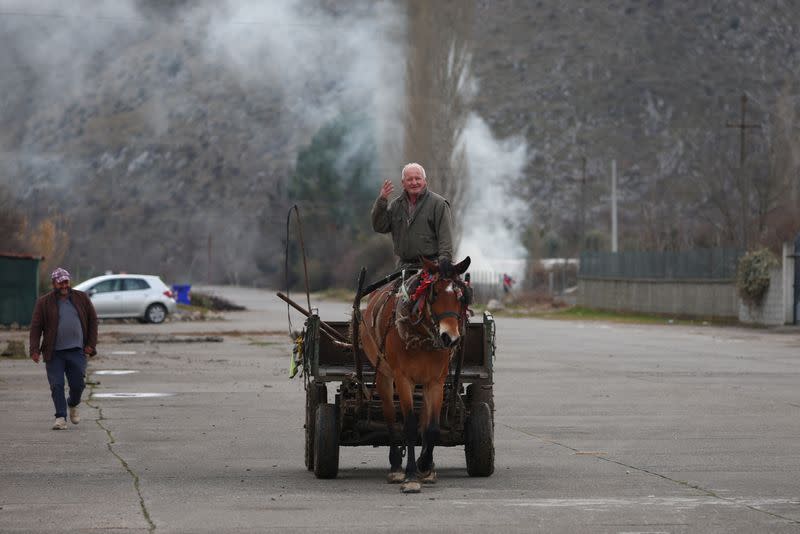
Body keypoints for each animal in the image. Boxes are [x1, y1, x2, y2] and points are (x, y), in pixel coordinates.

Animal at [360, 255, 472, 494]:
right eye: (434, 293)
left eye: (461, 295)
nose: (450, 337)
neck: (422, 336)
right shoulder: (403, 379)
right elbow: (409, 425)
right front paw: (411, 475)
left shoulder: (436, 381)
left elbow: (432, 427)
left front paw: (425, 466)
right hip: (384, 375)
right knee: (391, 416)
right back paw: (396, 466)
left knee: (423, 419)